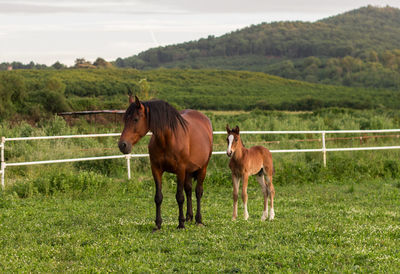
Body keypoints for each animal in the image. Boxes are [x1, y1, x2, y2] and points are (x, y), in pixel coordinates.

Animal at [118, 95, 212, 230]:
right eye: (125, 119)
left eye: (135, 119)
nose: (122, 145)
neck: (168, 139)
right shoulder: (156, 169)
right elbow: (158, 197)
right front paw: (158, 224)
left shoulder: (180, 170)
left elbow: (179, 197)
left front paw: (181, 224)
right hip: (189, 171)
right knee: (189, 190)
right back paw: (189, 217)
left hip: (202, 168)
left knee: (198, 192)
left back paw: (198, 220)